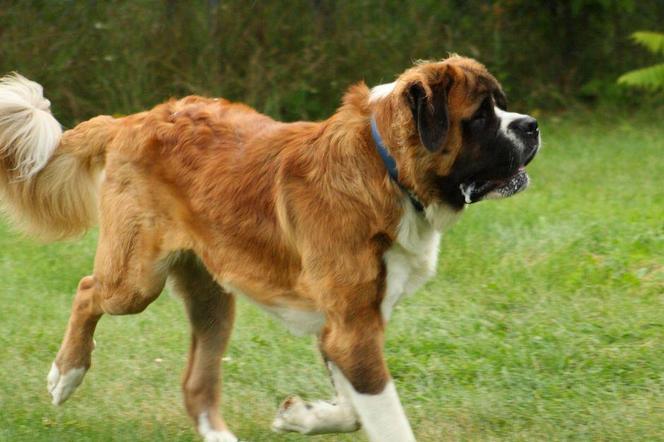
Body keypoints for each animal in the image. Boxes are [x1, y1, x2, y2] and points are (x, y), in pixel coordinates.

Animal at [0, 55, 539, 442]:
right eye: (480, 116)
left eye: (502, 105)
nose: (531, 125)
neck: (386, 168)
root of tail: (131, 120)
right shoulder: (354, 329)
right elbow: (385, 419)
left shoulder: (345, 326)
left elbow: (353, 410)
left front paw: (301, 416)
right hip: (135, 281)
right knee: (87, 290)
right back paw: (66, 375)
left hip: (213, 299)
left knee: (196, 385)